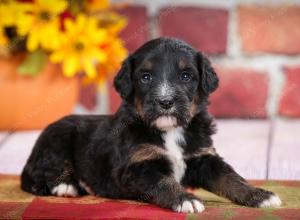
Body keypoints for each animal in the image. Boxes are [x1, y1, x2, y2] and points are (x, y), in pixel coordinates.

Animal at [21, 37, 282, 213]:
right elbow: (164, 182)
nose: (165, 102)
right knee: (36, 175)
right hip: (58, 138)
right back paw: (66, 186)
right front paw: (185, 199)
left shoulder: (204, 157)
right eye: (145, 77)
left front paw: (260, 195)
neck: (170, 130)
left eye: (186, 75)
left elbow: (231, 178)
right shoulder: (136, 167)